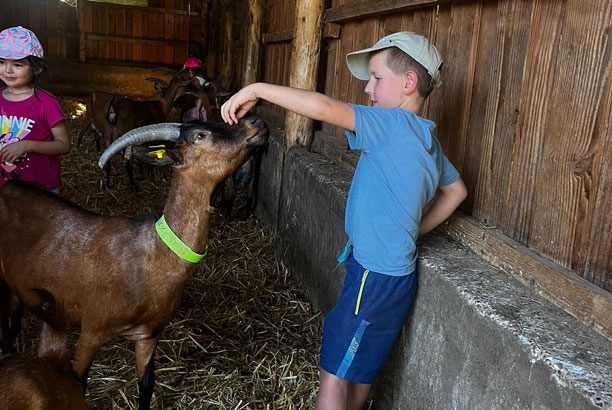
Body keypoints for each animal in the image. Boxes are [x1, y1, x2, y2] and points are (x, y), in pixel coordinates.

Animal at [0, 116, 268, 410]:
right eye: (200, 135)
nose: (253, 120)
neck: (154, 256)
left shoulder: (149, 335)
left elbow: (147, 384)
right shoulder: (92, 330)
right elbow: (79, 382)